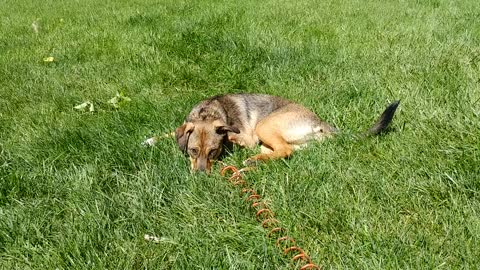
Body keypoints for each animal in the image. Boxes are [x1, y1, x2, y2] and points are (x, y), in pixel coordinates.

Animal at [167, 93, 400, 173]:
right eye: (193, 150)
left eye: (213, 152)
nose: (200, 175)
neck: (208, 113)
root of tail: (320, 122)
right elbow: (170, 133)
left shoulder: (247, 137)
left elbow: (234, 136)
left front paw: (231, 139)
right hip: (271, 142)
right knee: (283, 152)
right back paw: (252, 164)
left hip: (264, 126)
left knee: (285, 151)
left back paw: (250, 161)